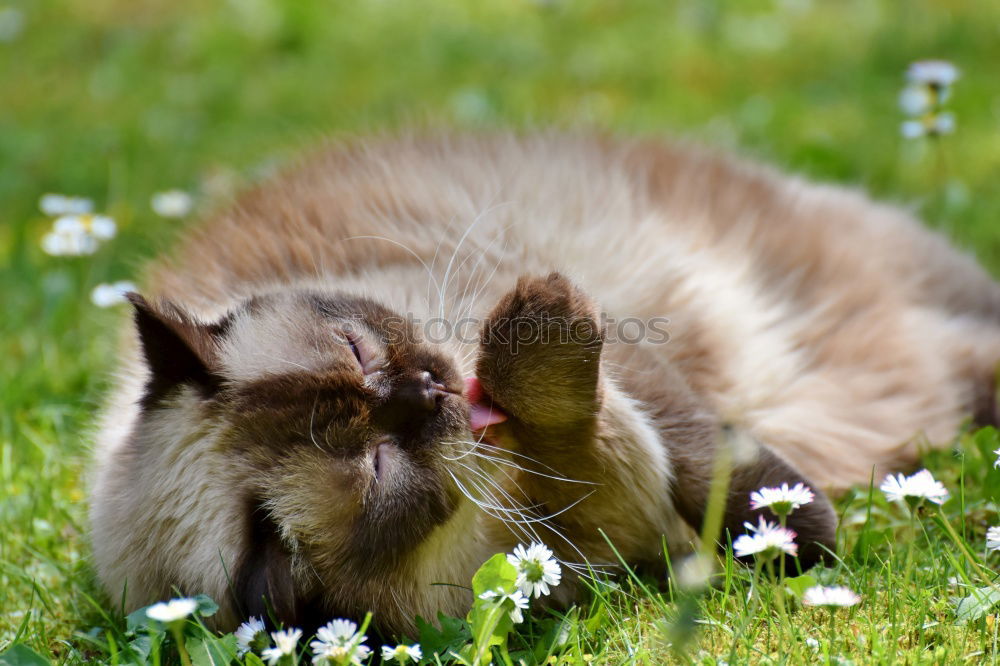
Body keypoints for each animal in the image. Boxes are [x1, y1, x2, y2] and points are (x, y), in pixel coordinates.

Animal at [86, 130, 1000, 632]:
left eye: (356, 351)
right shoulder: (600, 531)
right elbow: (604, 446)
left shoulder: (612, 378)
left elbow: (709, 461)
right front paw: (791, 542)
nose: (426, 391)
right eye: (378, 469)